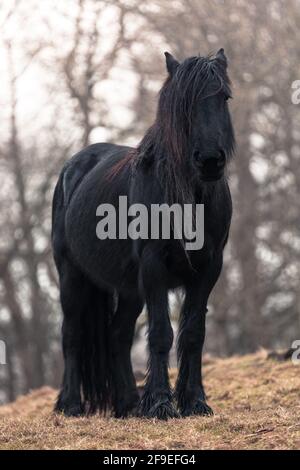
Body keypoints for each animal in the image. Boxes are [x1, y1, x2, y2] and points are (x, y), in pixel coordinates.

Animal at [51, 49, 234, 420]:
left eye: (224, 97)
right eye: (182, 105)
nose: (210, 161)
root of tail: (74, 167)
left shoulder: (209, 268)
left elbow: (193, 333)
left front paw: (194, 402)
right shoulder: (154, 267)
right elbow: (161, 333)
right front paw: (161, 403)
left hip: (129, 289)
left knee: (118, 335)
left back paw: (128, 405)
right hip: (72, 276)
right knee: (72, 333)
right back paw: (71, 404)